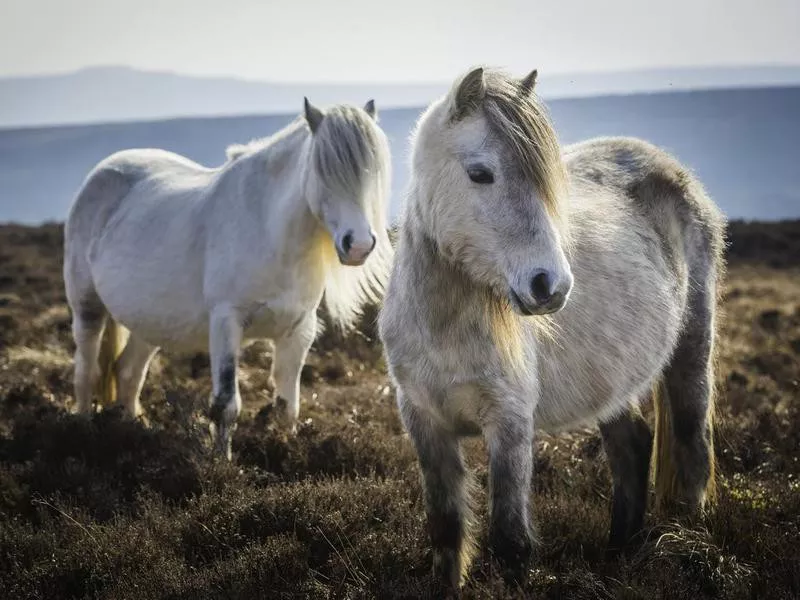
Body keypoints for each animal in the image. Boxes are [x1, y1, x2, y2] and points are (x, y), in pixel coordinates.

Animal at [64, 98, 392, 458]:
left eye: (375, 171)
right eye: (324, 169)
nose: (358, 245)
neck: (270, 232)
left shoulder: (298, 330)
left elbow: (287, 407)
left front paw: (287, 452)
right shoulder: (226, 322)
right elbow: (226, 405)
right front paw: (222, 463)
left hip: (149, 321)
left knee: (128, 372)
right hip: (87, 307)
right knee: (86, 370)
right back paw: (82, 429)